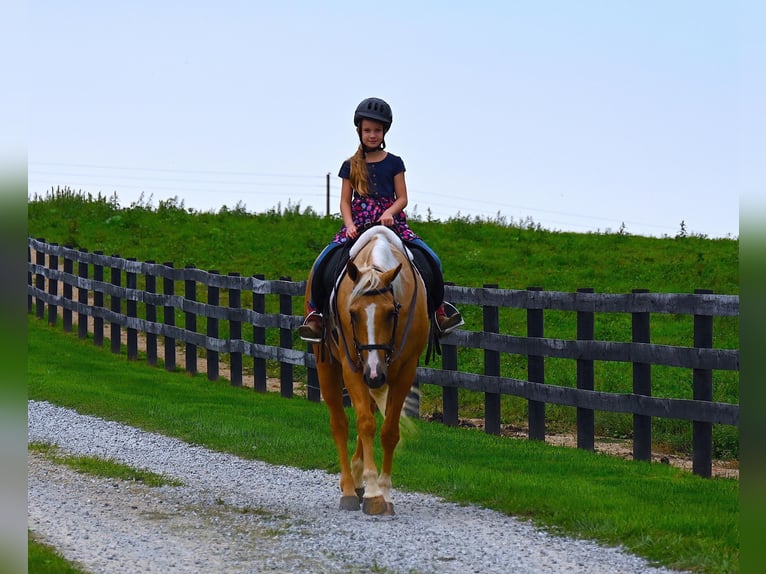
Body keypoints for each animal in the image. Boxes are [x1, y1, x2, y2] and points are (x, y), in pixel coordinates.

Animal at [308, 226, 428, 516]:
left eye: (391, 313)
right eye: (352, 313)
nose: (374, 372)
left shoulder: (405, 370)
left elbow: (388, 431)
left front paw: (384, 492)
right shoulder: (353, 368)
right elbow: (364, 423)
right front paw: (373, 493)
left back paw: (357, 479)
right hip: (328, 365)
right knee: (339, 423)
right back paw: (350, 489)